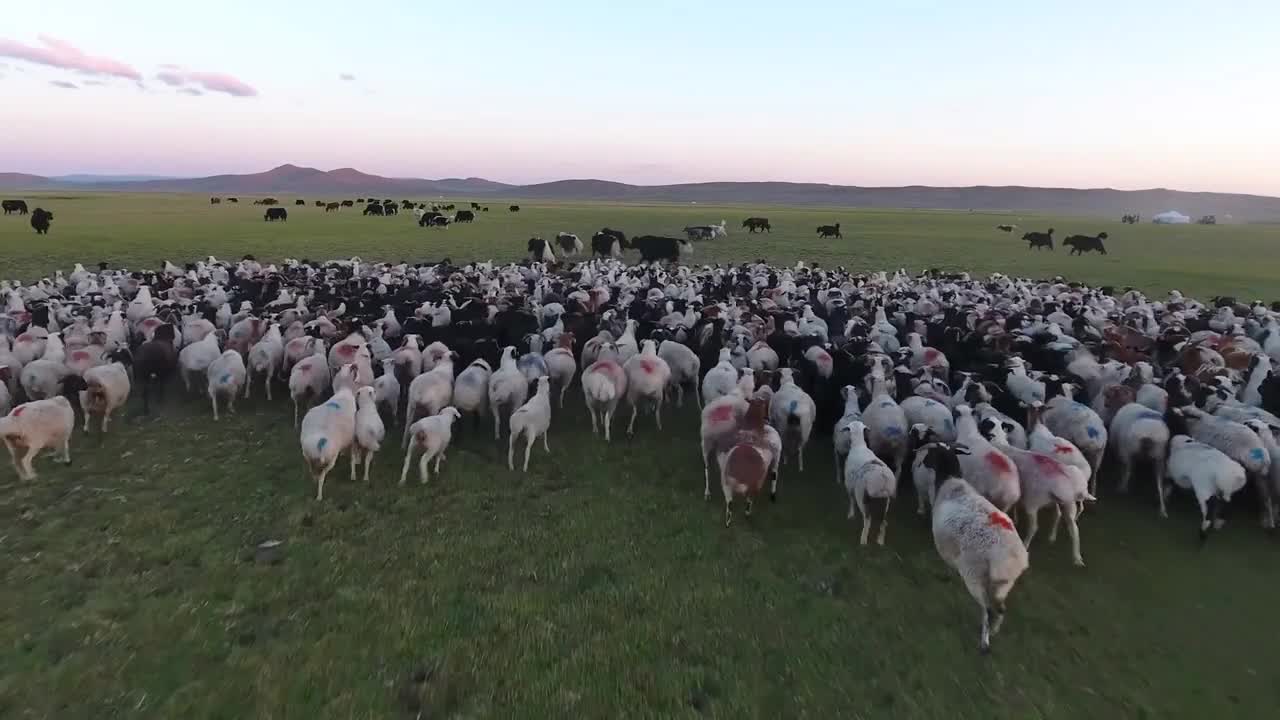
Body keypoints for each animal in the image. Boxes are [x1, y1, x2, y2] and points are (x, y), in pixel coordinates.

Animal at [926, 440, 1024, 653]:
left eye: (932, 452)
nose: (924, 462)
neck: (950, 482)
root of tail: (1012, 557)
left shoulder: (946, 545)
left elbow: (947, 563)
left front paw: (945, 576)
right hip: (1003, 584)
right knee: (1000, 609)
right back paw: (994, 631)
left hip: (975, 574)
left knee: (986, 608)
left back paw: (984, 643)